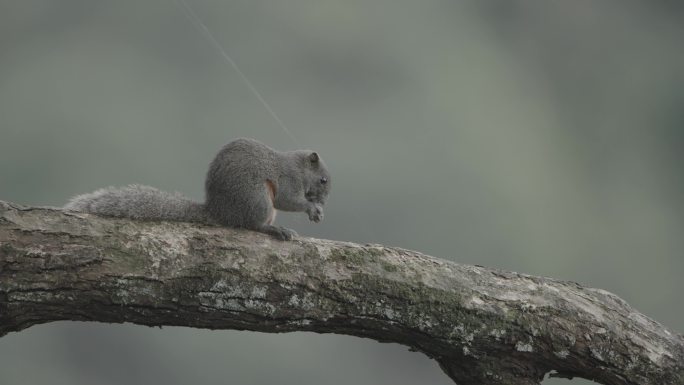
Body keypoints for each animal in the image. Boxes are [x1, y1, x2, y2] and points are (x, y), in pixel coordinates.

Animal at [63, 138, 328, 240]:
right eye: (324, 180)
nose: (324, 202)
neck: (299, 168)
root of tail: (219, 212)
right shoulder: (289, 179)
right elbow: (288, 200)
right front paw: (311, 207)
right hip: (259, 199)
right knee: (252, 225)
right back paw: (274, 229)